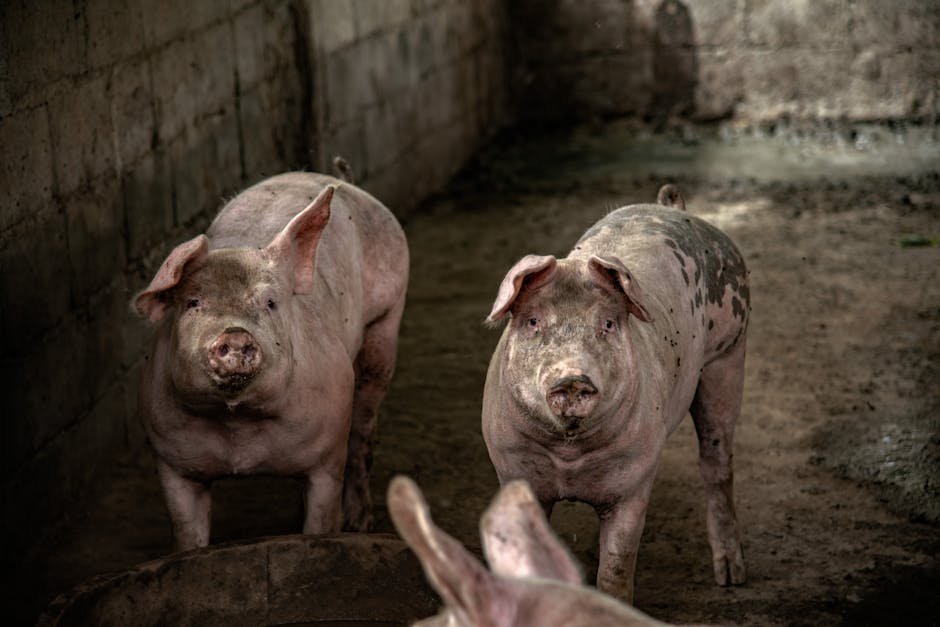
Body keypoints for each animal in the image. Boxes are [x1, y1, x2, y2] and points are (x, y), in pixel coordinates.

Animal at [132, 171, 408, 551]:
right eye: (192, 303)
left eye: (270, 303)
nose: (235, 334)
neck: (239, 429)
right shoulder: (171, 460)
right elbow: (188, 534)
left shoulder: (327, 456)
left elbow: (321, 520)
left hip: (385, 323)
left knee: (363, 433)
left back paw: (359, 524)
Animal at [482, 185, 749, 602]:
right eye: (533, 321)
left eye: (607, 323)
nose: (572, 378)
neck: (569, 456)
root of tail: (672, 208)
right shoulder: (511, 464)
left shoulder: (635, 479)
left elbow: (617, 568)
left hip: (729, 354)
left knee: (717, 461)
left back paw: (731, 578)